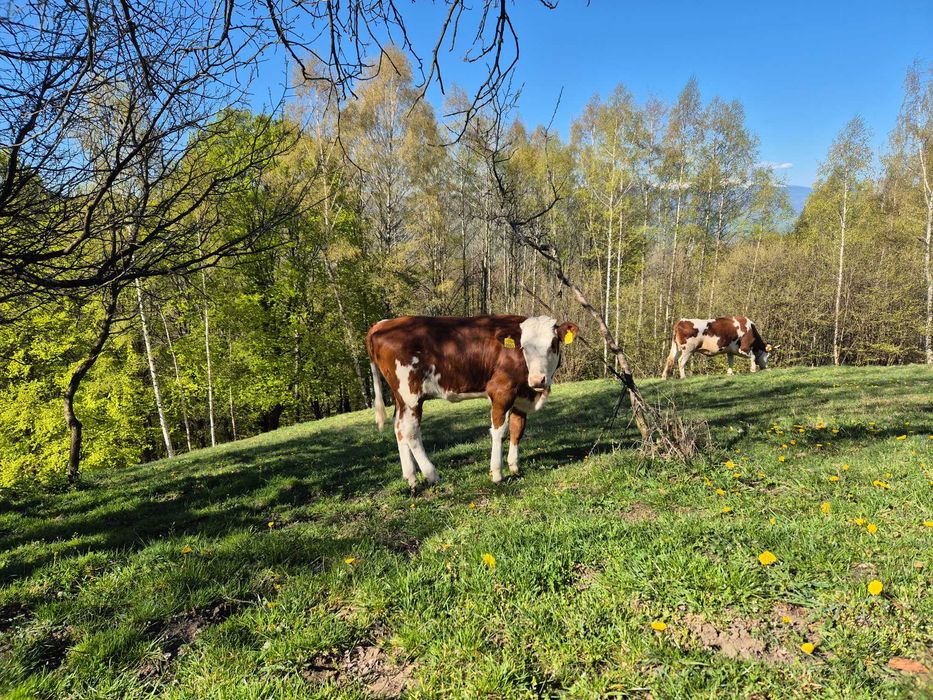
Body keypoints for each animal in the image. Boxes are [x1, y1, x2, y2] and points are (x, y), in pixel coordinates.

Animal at [366, 315, 579, 488]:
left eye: (553, 344)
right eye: (524, 347)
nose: (537, 380)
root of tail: (383, 324)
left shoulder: (520, 397)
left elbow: (517, 429)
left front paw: (514, 466)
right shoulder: (501, 390)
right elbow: (500, 431)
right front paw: (497, 473)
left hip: (400, 398)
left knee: (399, 428)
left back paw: (411, 478)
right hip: (410, 394)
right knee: (410, 431)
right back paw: (431, 474)